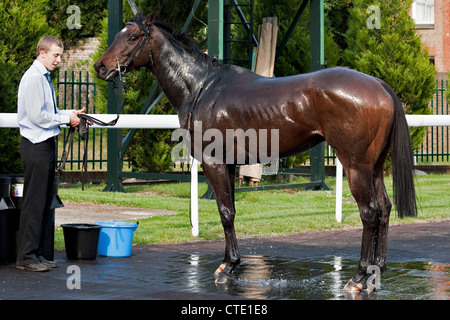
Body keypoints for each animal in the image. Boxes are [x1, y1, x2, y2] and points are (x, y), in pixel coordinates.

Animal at [93, 11, 416, 292]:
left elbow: (225, 212)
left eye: (132, 36)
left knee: (370, 212)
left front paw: (227, 267)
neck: (201, 87)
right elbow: (231, 211)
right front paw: (230, 263)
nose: (101, 67)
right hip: (374, 166)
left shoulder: (213, 162)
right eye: (119, 33)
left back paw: (358, 278)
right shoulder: (230, 163)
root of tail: (379, 85)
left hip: (355, 166)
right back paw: (376, 271)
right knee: (385, 208)